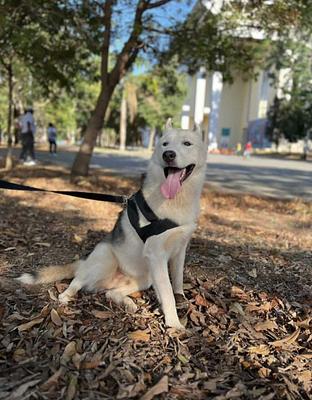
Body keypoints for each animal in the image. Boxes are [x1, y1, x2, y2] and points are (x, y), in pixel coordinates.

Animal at [17, 120, 207, 330]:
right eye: (165, 144)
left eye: (187, 143)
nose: (168, 155)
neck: (176, 200)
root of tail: (84, 262)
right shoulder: (157, 255)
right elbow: (166, 292)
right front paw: (174, 323)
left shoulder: (179, 250)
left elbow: (178, 280)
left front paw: (180, 298)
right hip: (106, 259)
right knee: (77, 280)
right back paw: (66, 296)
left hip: (145, 278)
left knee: (110, 293)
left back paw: (127, 303)